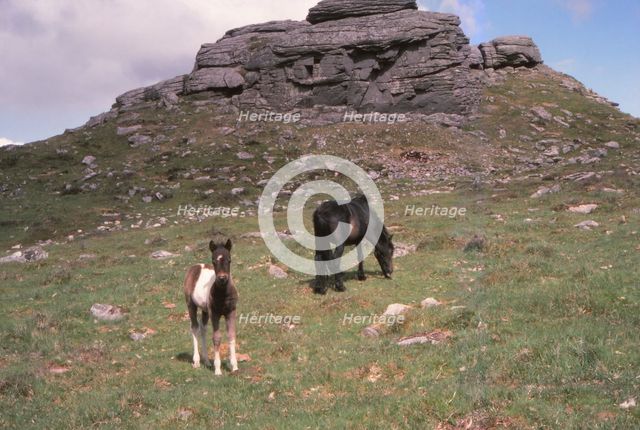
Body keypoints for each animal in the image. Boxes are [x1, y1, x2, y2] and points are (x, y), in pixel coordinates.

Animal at [183, 238, 238, 375]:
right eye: (213, 261)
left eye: (229, 259)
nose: (222, 278)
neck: (223, 294)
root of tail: (195, 266)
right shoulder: (215, 314)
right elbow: (217, 338)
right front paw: (218, 369)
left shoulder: (231, 312)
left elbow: (231, 335)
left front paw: (234, 366)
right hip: (190, 304)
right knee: (194, 327)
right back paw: (197, 361)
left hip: (205, 310)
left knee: (203, 328)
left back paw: (207, 361)